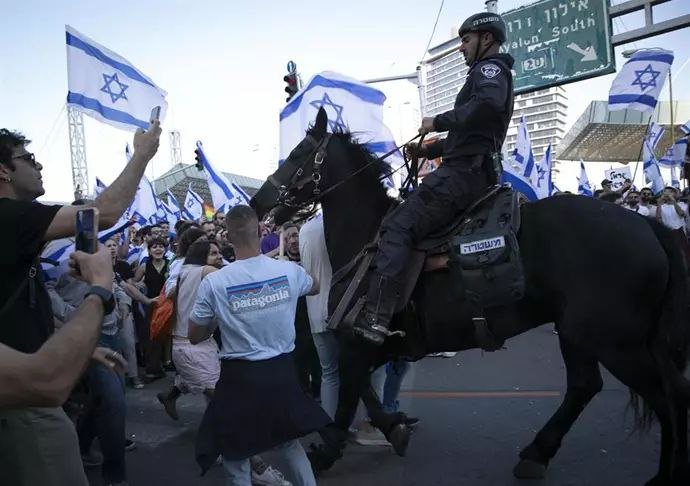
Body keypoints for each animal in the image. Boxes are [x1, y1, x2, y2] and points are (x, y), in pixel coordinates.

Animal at [251, 108, 688, 484]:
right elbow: (366, 396)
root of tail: (650, 229)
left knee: (667, 395)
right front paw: (393, 429)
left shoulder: (359, 343)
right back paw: (537, 454)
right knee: (586, 386)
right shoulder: (367, 347)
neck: (368, 236)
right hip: (580, 333)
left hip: (613, 342)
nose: (257, 203)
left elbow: (346, 401)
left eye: (298, 153)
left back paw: (664, 473)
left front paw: (326, 453)